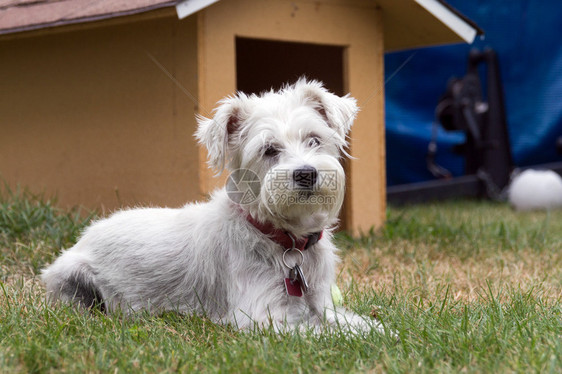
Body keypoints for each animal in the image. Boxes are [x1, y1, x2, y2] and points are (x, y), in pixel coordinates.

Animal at [41, 79, 388, 334]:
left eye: (314, 139)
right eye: (268, 150)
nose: (306, 173)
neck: (283, 237)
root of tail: (87, 234)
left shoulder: (322, 303)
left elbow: (358, 325)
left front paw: (380, 332)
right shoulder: (261, 314)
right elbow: (321, 333)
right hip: (72, 275)